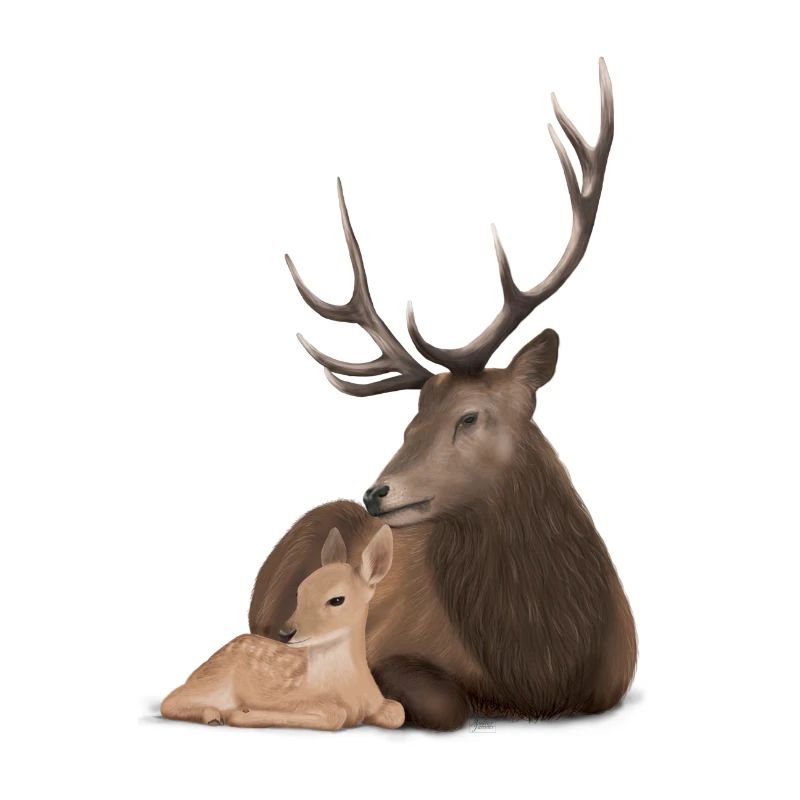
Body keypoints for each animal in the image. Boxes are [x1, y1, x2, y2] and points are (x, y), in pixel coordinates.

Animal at [163, 525, 404, 730]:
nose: (285, 632)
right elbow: (336, 715)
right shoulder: (293, 699)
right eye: (299, 591)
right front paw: (242, 713)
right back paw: (213, 715)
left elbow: (398, 711)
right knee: (169, 700)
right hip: (216, 681)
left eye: (337, 599)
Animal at [250, 58, 637, 730]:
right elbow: (445, 703)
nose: (376, 493)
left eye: (469, 417)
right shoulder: (385, 647)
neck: (541, 670)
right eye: (409, 422)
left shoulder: (617, 676)